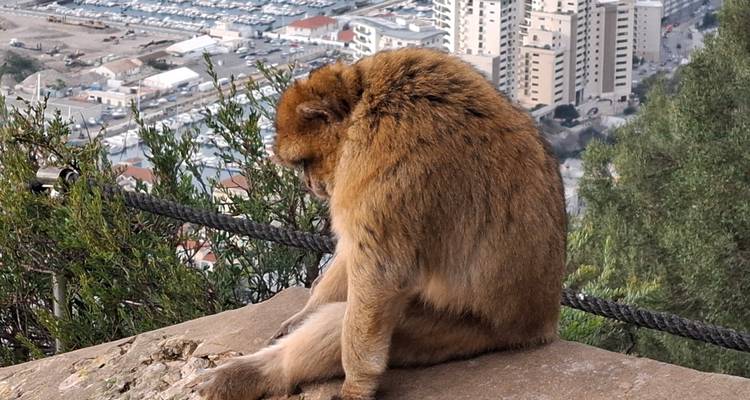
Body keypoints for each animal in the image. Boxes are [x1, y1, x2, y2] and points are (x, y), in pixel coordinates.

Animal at [192, 47, 566, 400]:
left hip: (464, 331)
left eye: (303, 162)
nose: (309, 184)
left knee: (347, 319)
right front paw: (305, 312)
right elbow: (350, 251)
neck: (363, 105)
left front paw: (357, 385)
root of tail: (540, 324)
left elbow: (381, 273)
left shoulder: (385, 162)